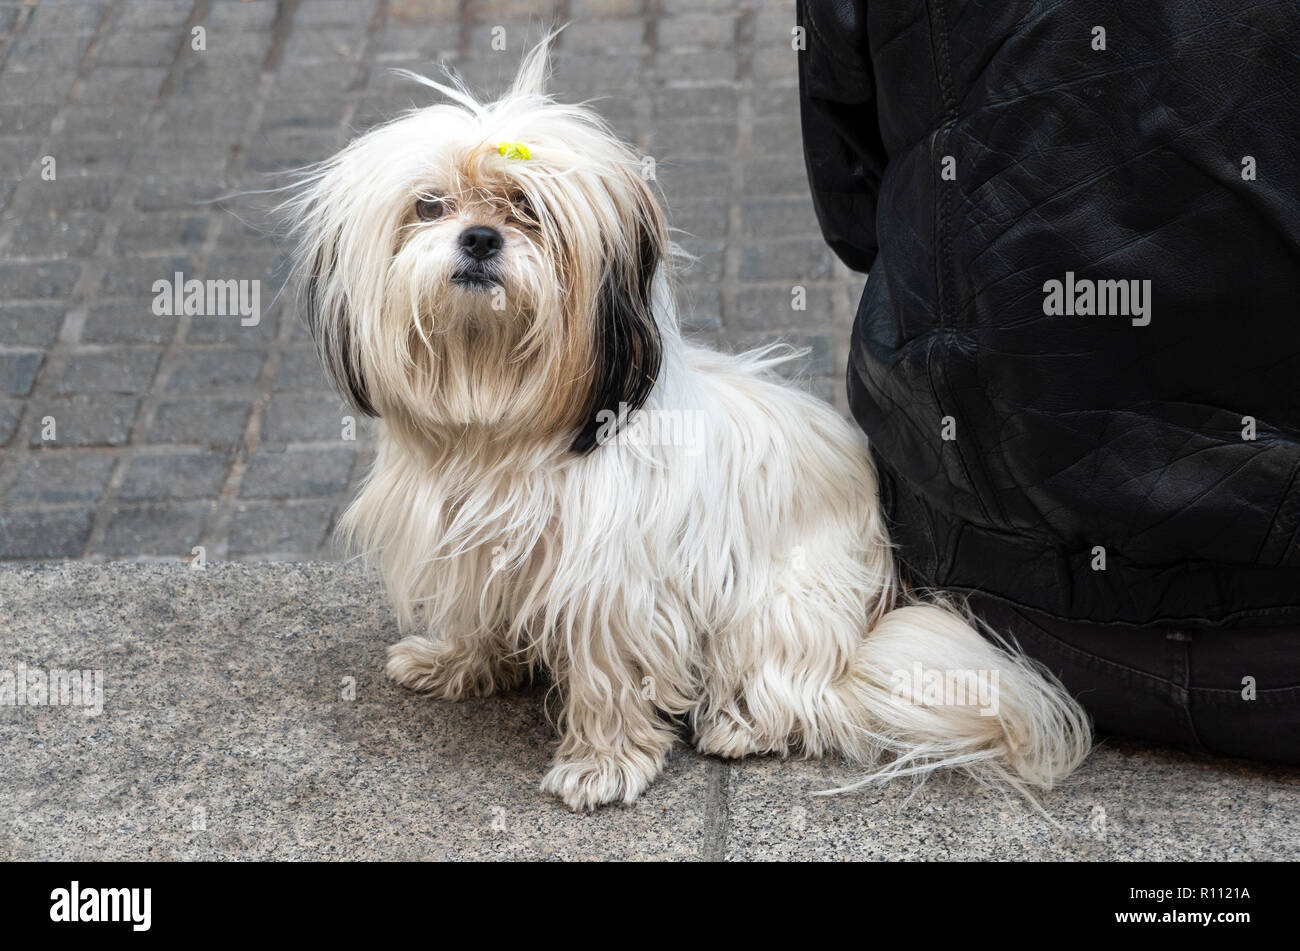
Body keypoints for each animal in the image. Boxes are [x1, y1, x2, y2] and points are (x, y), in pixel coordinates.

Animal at [289, 38, 1092, 810]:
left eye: (528, 211)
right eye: (429, 207)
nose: (481, 237)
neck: (502, 426)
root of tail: (873, 613)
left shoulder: (613, 587)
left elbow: (611, 676)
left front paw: (603, 764)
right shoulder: (472, 545)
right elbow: (475, 613)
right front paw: (456, 660)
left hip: (778, 605)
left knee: (808, 696)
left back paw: (744, 724)